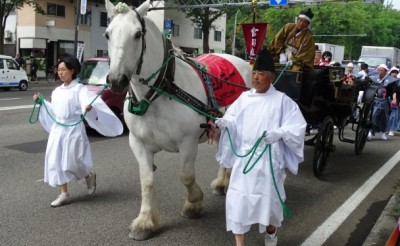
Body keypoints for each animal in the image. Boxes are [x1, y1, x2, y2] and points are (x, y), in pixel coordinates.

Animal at [104, 0, 252, 239]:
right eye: (107, 34)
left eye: (137, 34)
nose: (117, 81)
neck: (157, 93)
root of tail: (242, 60)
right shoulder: (138, 143)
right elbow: (146, 181)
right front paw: (145, 222)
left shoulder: (188, 142)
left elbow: (186, 176)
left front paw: (193, 204)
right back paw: (222, 182)